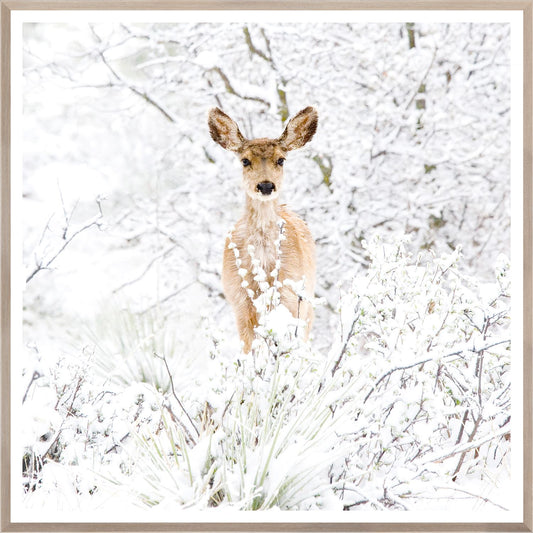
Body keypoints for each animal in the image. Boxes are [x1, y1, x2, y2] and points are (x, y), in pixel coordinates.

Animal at [207, 105, 316, 354]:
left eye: (281, 160)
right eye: (245, 161)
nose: (266, 185)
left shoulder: (290, 296)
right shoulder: (240, 300)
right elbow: (251, 349)